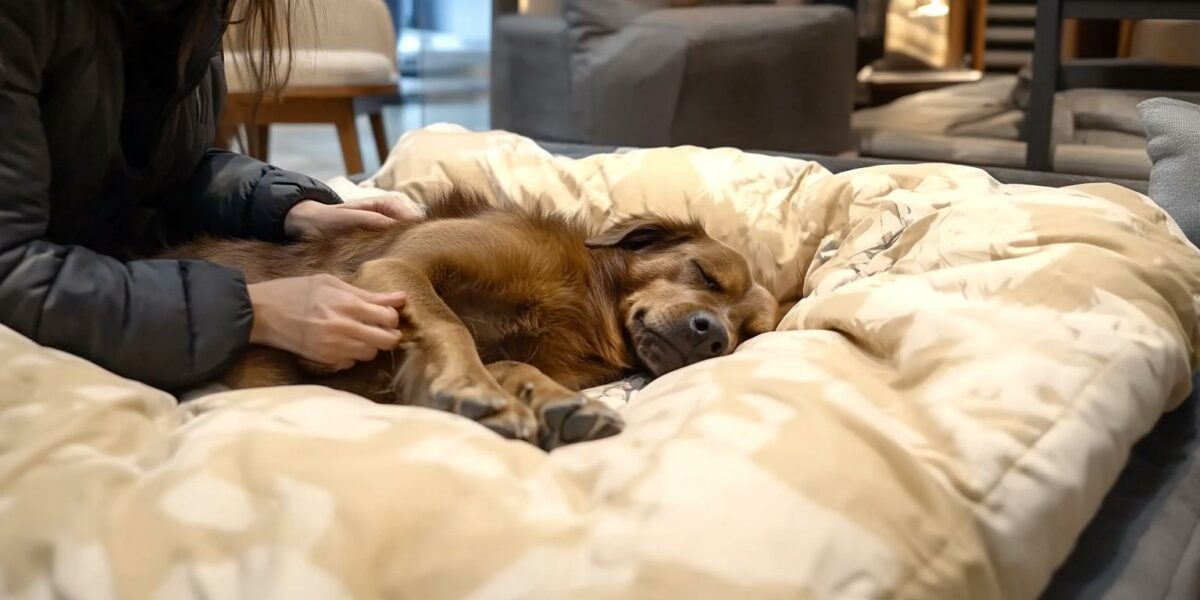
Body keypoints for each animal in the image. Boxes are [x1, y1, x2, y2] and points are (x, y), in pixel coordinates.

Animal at [164, 189, 772, 448]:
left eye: (748, 335)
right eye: (705, 275)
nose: (713, 335)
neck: (584, 301)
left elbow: (515, 368)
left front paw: (552, 403)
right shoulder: (398, 269)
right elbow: (447, 324)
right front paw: (474, 390)